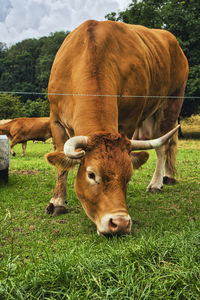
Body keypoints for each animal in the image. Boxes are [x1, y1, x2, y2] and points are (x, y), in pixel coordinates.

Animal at [44, 20, 188, 237]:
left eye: (129, 177)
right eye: (91, 175)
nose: (119, 223)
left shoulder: (130, 120)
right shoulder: (56, 121)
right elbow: (62, 165)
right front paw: (58, 202)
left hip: (172, 103)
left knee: (164, 146)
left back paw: (156, 183)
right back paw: (168, 176)